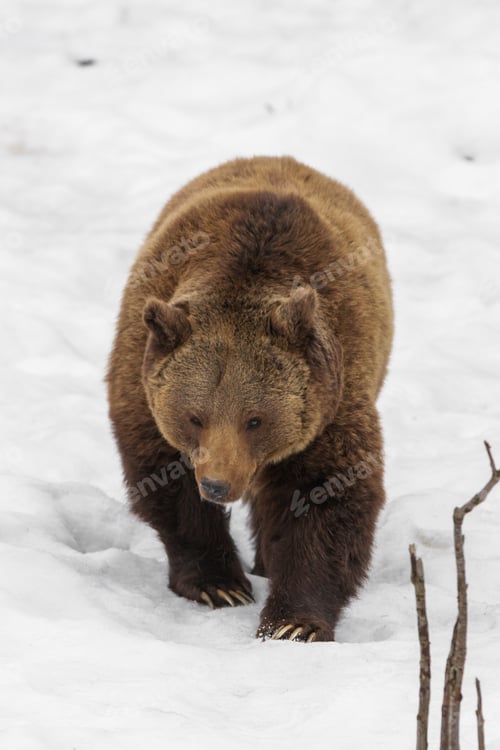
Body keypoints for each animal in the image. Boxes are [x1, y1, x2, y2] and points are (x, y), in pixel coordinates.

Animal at [107, 156, 393, 642]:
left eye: (255, 419)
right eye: (195, 416)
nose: (218, 484)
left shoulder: (331, 399)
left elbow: (325, 496)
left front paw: (293, 622)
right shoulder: (141, 384)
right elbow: (169, 489)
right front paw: (218, 585)